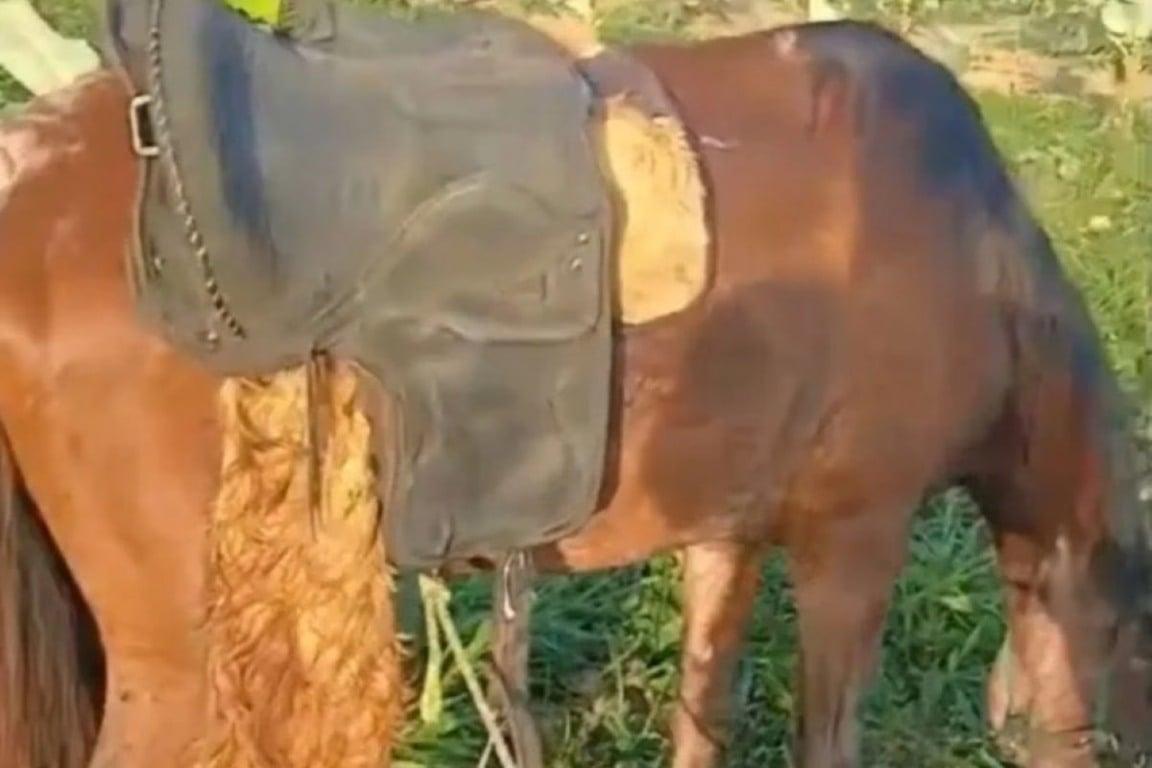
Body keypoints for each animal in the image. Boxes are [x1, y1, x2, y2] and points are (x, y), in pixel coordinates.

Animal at [0, 13, 1149, 768]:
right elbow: (826, 738)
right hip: (175, 659)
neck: (973, 258)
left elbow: (702, 708)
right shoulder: (853, 540)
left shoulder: (728, 531)